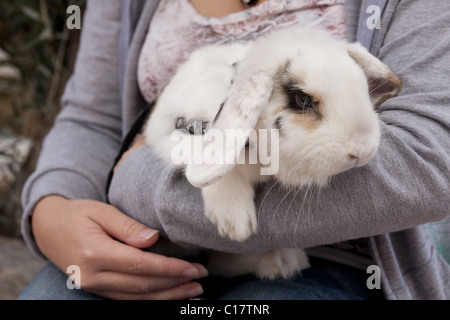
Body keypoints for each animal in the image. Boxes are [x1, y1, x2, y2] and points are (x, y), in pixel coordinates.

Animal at [144, 26, 400, 278]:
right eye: (303, 99)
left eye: (364, 88)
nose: (362, 151)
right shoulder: (175, 135)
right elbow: (210, 163)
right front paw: (235, 222)